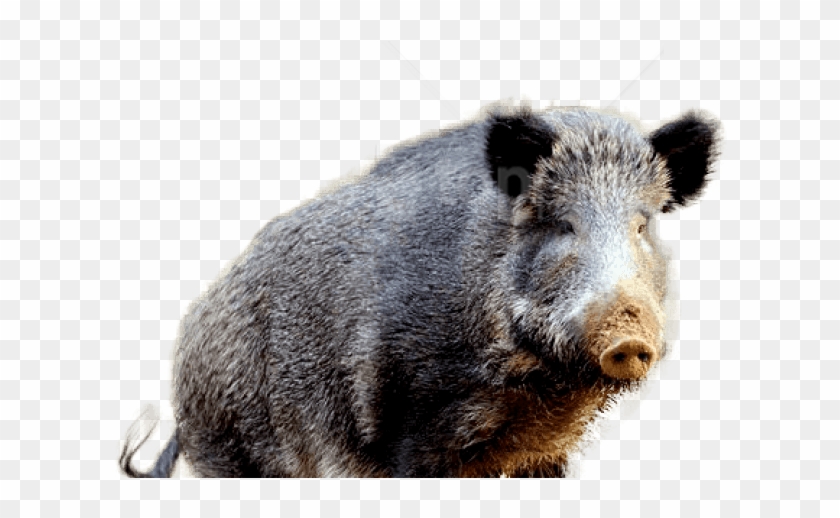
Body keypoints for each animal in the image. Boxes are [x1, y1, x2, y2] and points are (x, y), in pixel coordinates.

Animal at [119, 103, 720, 478]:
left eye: (642, 225)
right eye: (563, 224)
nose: (628, 337)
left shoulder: (543, 454)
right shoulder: (409, 425)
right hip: (230, 449)